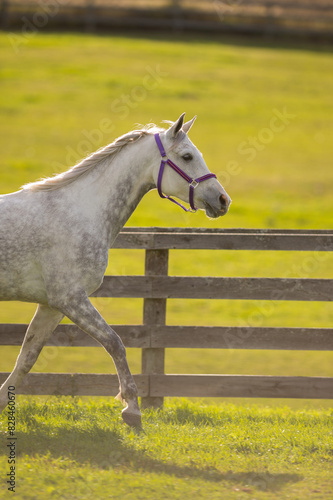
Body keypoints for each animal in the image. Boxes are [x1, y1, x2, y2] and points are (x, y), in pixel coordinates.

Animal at [0, 113, 230, 426]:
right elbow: (114, 343)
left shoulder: (51, 306)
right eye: (187, 156)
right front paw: (132, 409)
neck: (81, 212)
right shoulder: (71, 299)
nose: (223, 200)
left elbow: (26, 358)